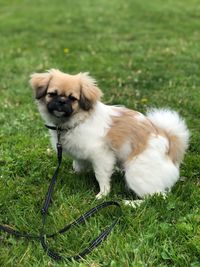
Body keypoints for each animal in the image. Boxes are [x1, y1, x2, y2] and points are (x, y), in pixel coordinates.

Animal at [29, 70, 189, 200]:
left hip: (136, 174)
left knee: (157, 196)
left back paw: (130, 204)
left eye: (73, 98)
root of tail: (170, 149)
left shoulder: (102, 156)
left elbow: (101, 176)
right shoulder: (81, 153)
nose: (61, 101)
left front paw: (103, 194)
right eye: (52, 94)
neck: (78, 120)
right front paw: (76, 174)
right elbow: (78, 164)